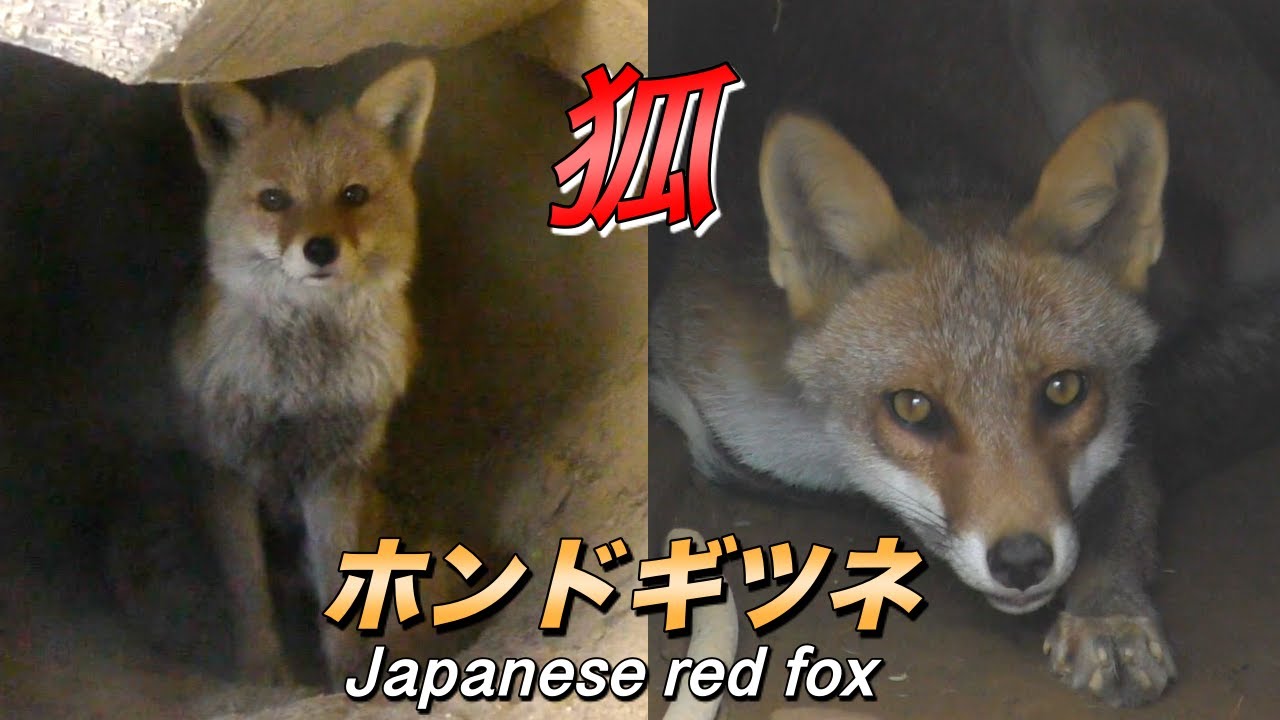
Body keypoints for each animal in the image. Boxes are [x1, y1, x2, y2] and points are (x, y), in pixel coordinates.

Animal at [175, 58, 436, 686]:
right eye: (274, 199)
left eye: (353, 195)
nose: (320, 249)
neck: (299, 388)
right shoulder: (227, 470)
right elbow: (248, 590)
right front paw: (262, 673)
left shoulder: (335, 474)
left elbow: (341, 587)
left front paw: (345, 671)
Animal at [650, 100, 1178, 707]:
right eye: (913, 407)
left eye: (1064, 389)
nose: (1022, 561)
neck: (822, 451)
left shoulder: (1130, 427)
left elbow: (1123, 513)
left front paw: (1111, 617)